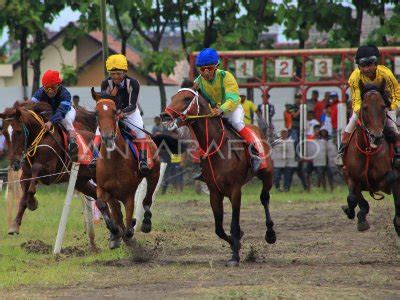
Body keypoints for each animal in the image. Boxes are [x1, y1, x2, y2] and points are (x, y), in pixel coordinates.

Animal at [1, 102, 112, 238]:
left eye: (18, 131)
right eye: (4, 133)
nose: (14, 163)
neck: (39, 138)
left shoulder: (50, 173)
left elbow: (35, 172)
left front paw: (32, 202)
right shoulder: (25, 176)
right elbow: (23, 197)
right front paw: (15, 224)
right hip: (81, 182)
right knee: (98, 197)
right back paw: (115, 229)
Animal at [91, 87, 160, 248]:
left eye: (115, 111)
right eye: (96, 113)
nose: (108, 137)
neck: (114, 161)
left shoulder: (128, 194)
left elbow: (128, 225)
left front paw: (129, 230)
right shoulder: (104, 189)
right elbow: (102, 205)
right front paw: (114, 231)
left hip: (154, 174)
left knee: (147, 200)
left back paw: (145, 222)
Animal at [159, 88, 276, 266]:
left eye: (187, 99)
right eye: (173, 97)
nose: (165, 115)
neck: (218, 148)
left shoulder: (235, 190)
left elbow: (234, 224)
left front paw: (235, 257)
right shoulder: (214, 192)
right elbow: (219, 229)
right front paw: (236, 244)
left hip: (267, 174)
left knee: (264, 198)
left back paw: (270, 234)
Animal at [340, 80, 400, 237]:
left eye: (383, 106)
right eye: (365, 107)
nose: (377, 137)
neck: (368, 151)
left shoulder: (390, 179)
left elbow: (391, 177)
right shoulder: (350, 176)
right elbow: (352, 198)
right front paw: (355, 214)